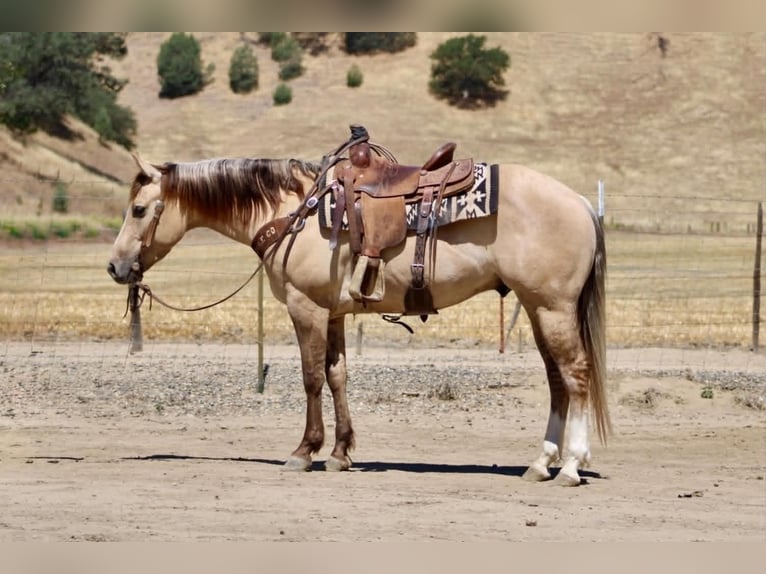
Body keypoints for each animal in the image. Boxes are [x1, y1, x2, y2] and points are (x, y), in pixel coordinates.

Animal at [107, 141, 610, 486]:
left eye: (139, 209)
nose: (115, 266)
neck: (293, 211)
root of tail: (582, 203)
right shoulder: (332, 313)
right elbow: (337, 375)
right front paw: (341, 453)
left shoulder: (305, 307)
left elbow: (311, 378)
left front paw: (304, 451)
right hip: (537, 308)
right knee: (556, 380)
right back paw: (541, 463)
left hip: (552, 308)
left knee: (576, 374)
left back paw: (570, 466)